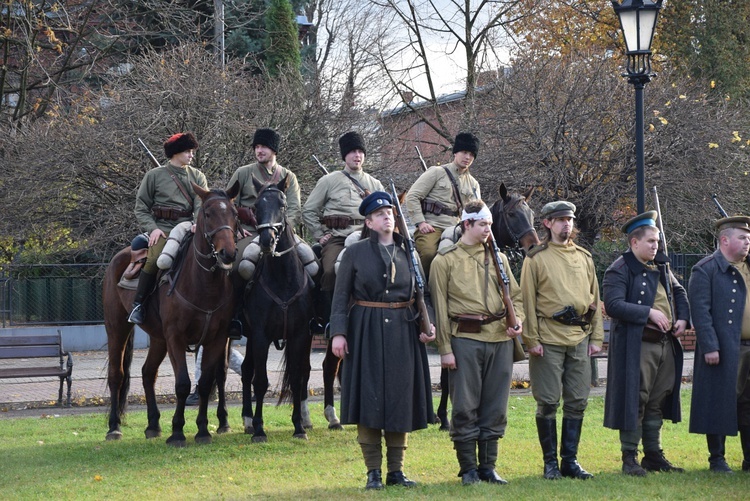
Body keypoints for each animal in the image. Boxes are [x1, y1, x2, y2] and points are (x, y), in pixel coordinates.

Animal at [104, 181, 239, 446]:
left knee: (148, 373)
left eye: (234, 213)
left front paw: (203, 430)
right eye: (208, 214)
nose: (227, 253)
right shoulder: (176, 337)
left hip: (158, 338)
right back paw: (114, 427)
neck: (203, 283)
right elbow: (183, 384)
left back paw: (153, 425)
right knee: (117, 374)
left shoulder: (217, 338)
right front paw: (177, 431)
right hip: (117, 328)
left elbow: (205, 382)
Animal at [244, 176, 314, 442]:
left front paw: (298, 427)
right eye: (256, 206)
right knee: (247, 372)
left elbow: (295, 379)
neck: (283, 279)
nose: (266, 240)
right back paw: (247, 421)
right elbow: (261, 382)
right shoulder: (260, 336)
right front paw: (259, 429)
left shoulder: (299, 335)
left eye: (282, 204)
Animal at [434, 184, 540, 430]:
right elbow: (447, 370)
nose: (533, 246)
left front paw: (441, 415)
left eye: (531, 214)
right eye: (512, 214)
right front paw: (444, 417)